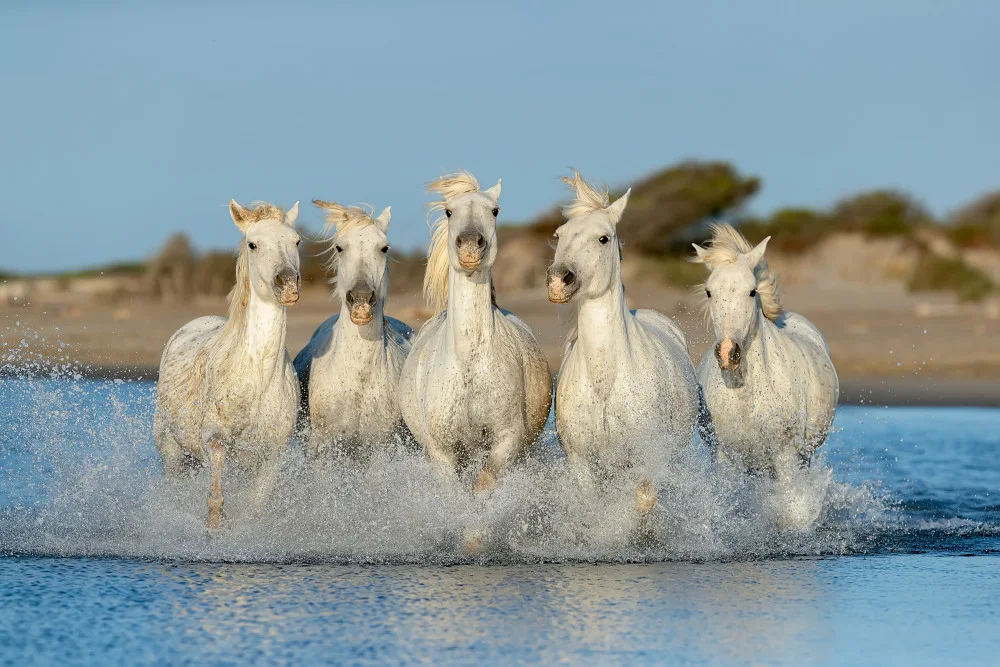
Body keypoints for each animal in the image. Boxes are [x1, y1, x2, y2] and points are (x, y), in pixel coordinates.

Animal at [153, 200, 302, 529]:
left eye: (297, 241)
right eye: (252, 244)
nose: (287, 284)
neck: (256, 376)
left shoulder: (272, 453)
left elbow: (256, 504)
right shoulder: (214, 440)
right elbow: (216, 500)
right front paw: (214, 528)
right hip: (171, 449)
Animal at [293, 202, 414, 458]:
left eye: (384, 248)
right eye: (339, 247)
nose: (360, 300)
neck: (358, 379)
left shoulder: (381, 447)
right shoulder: (323, 447)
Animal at [398, 171, 552, 494]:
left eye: (494, 211)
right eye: (448, 211)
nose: (470, 246)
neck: (468, 361)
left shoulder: (506, 441)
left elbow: (482, 486)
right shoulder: (442, 453)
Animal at [547, 171, 701, 515]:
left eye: (603, 238)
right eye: (559, 235)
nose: (558, 281)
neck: (606, 381)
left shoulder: (644, 459)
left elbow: (644, 501)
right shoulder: (583, 463)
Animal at [691, 223, 839, 521]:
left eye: (751, 291)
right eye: (709, 292)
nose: (728, 353)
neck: (747, 396)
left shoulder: (785, 456)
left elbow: (792, 509)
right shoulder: (725, 459)